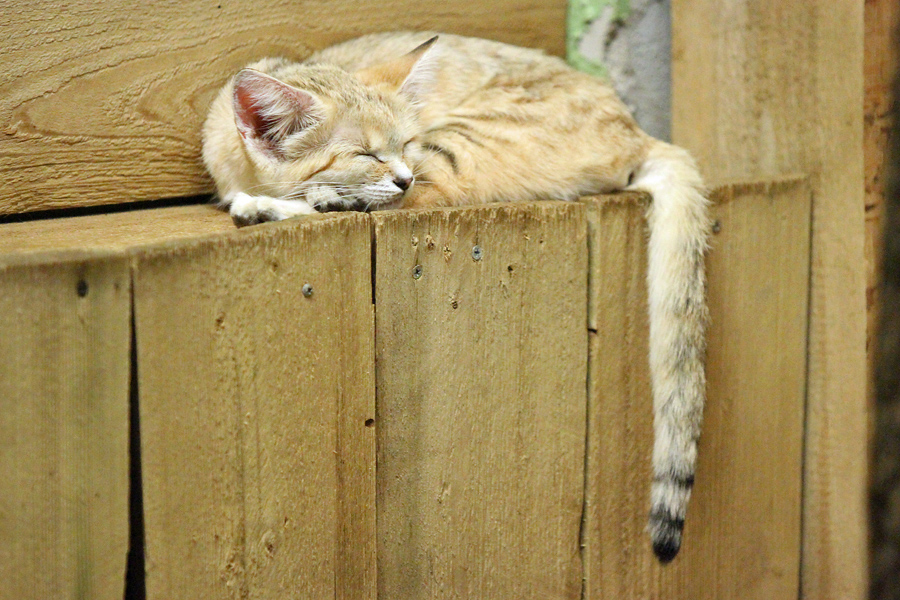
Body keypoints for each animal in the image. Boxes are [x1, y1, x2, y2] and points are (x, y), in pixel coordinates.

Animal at [202, 31, 710, 563]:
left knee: (413, 199)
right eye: (366, 154)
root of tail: (639, 132)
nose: (403, 175)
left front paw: (278, 201)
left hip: (461, 142)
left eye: (403, 144)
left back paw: (275, 206)